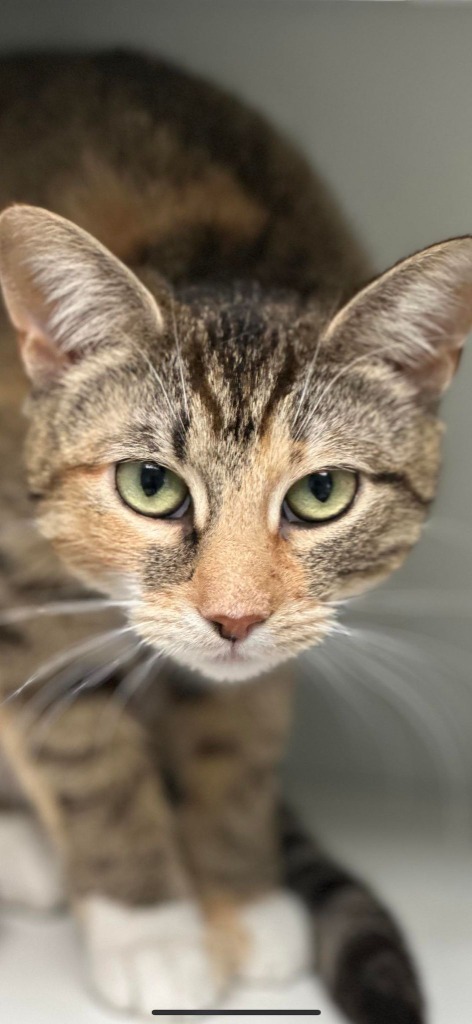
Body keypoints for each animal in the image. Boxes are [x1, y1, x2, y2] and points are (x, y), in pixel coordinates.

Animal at [0, 49, 466, 1024]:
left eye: (322, 493)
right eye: (150, 485)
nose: (235, 619)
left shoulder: (288, 632)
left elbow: (241, 732)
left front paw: (241, 895)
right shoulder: (19, 580)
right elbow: (81, 745)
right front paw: (152, 928)